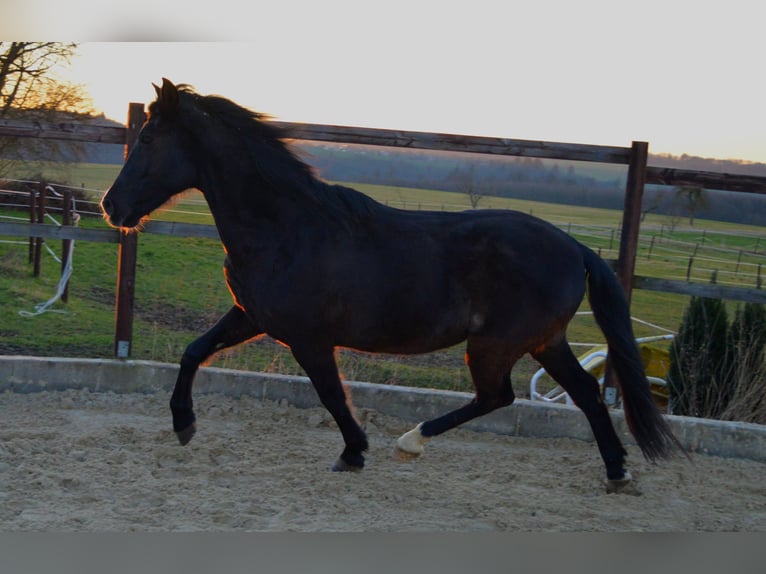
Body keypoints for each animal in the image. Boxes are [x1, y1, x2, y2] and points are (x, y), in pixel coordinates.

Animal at [103, 76, 684, 490]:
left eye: (149, 137)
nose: (112, 207)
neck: (287, 227)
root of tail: (576, 248)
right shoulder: (252, 317)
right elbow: (193, 352)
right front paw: (184, 425)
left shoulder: (309, 339)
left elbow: (332, 395)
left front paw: (354, 453)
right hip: (546, 341)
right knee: (585, 394)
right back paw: (618, 473)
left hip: (496, 345)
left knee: (498, 396)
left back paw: (411, 441)